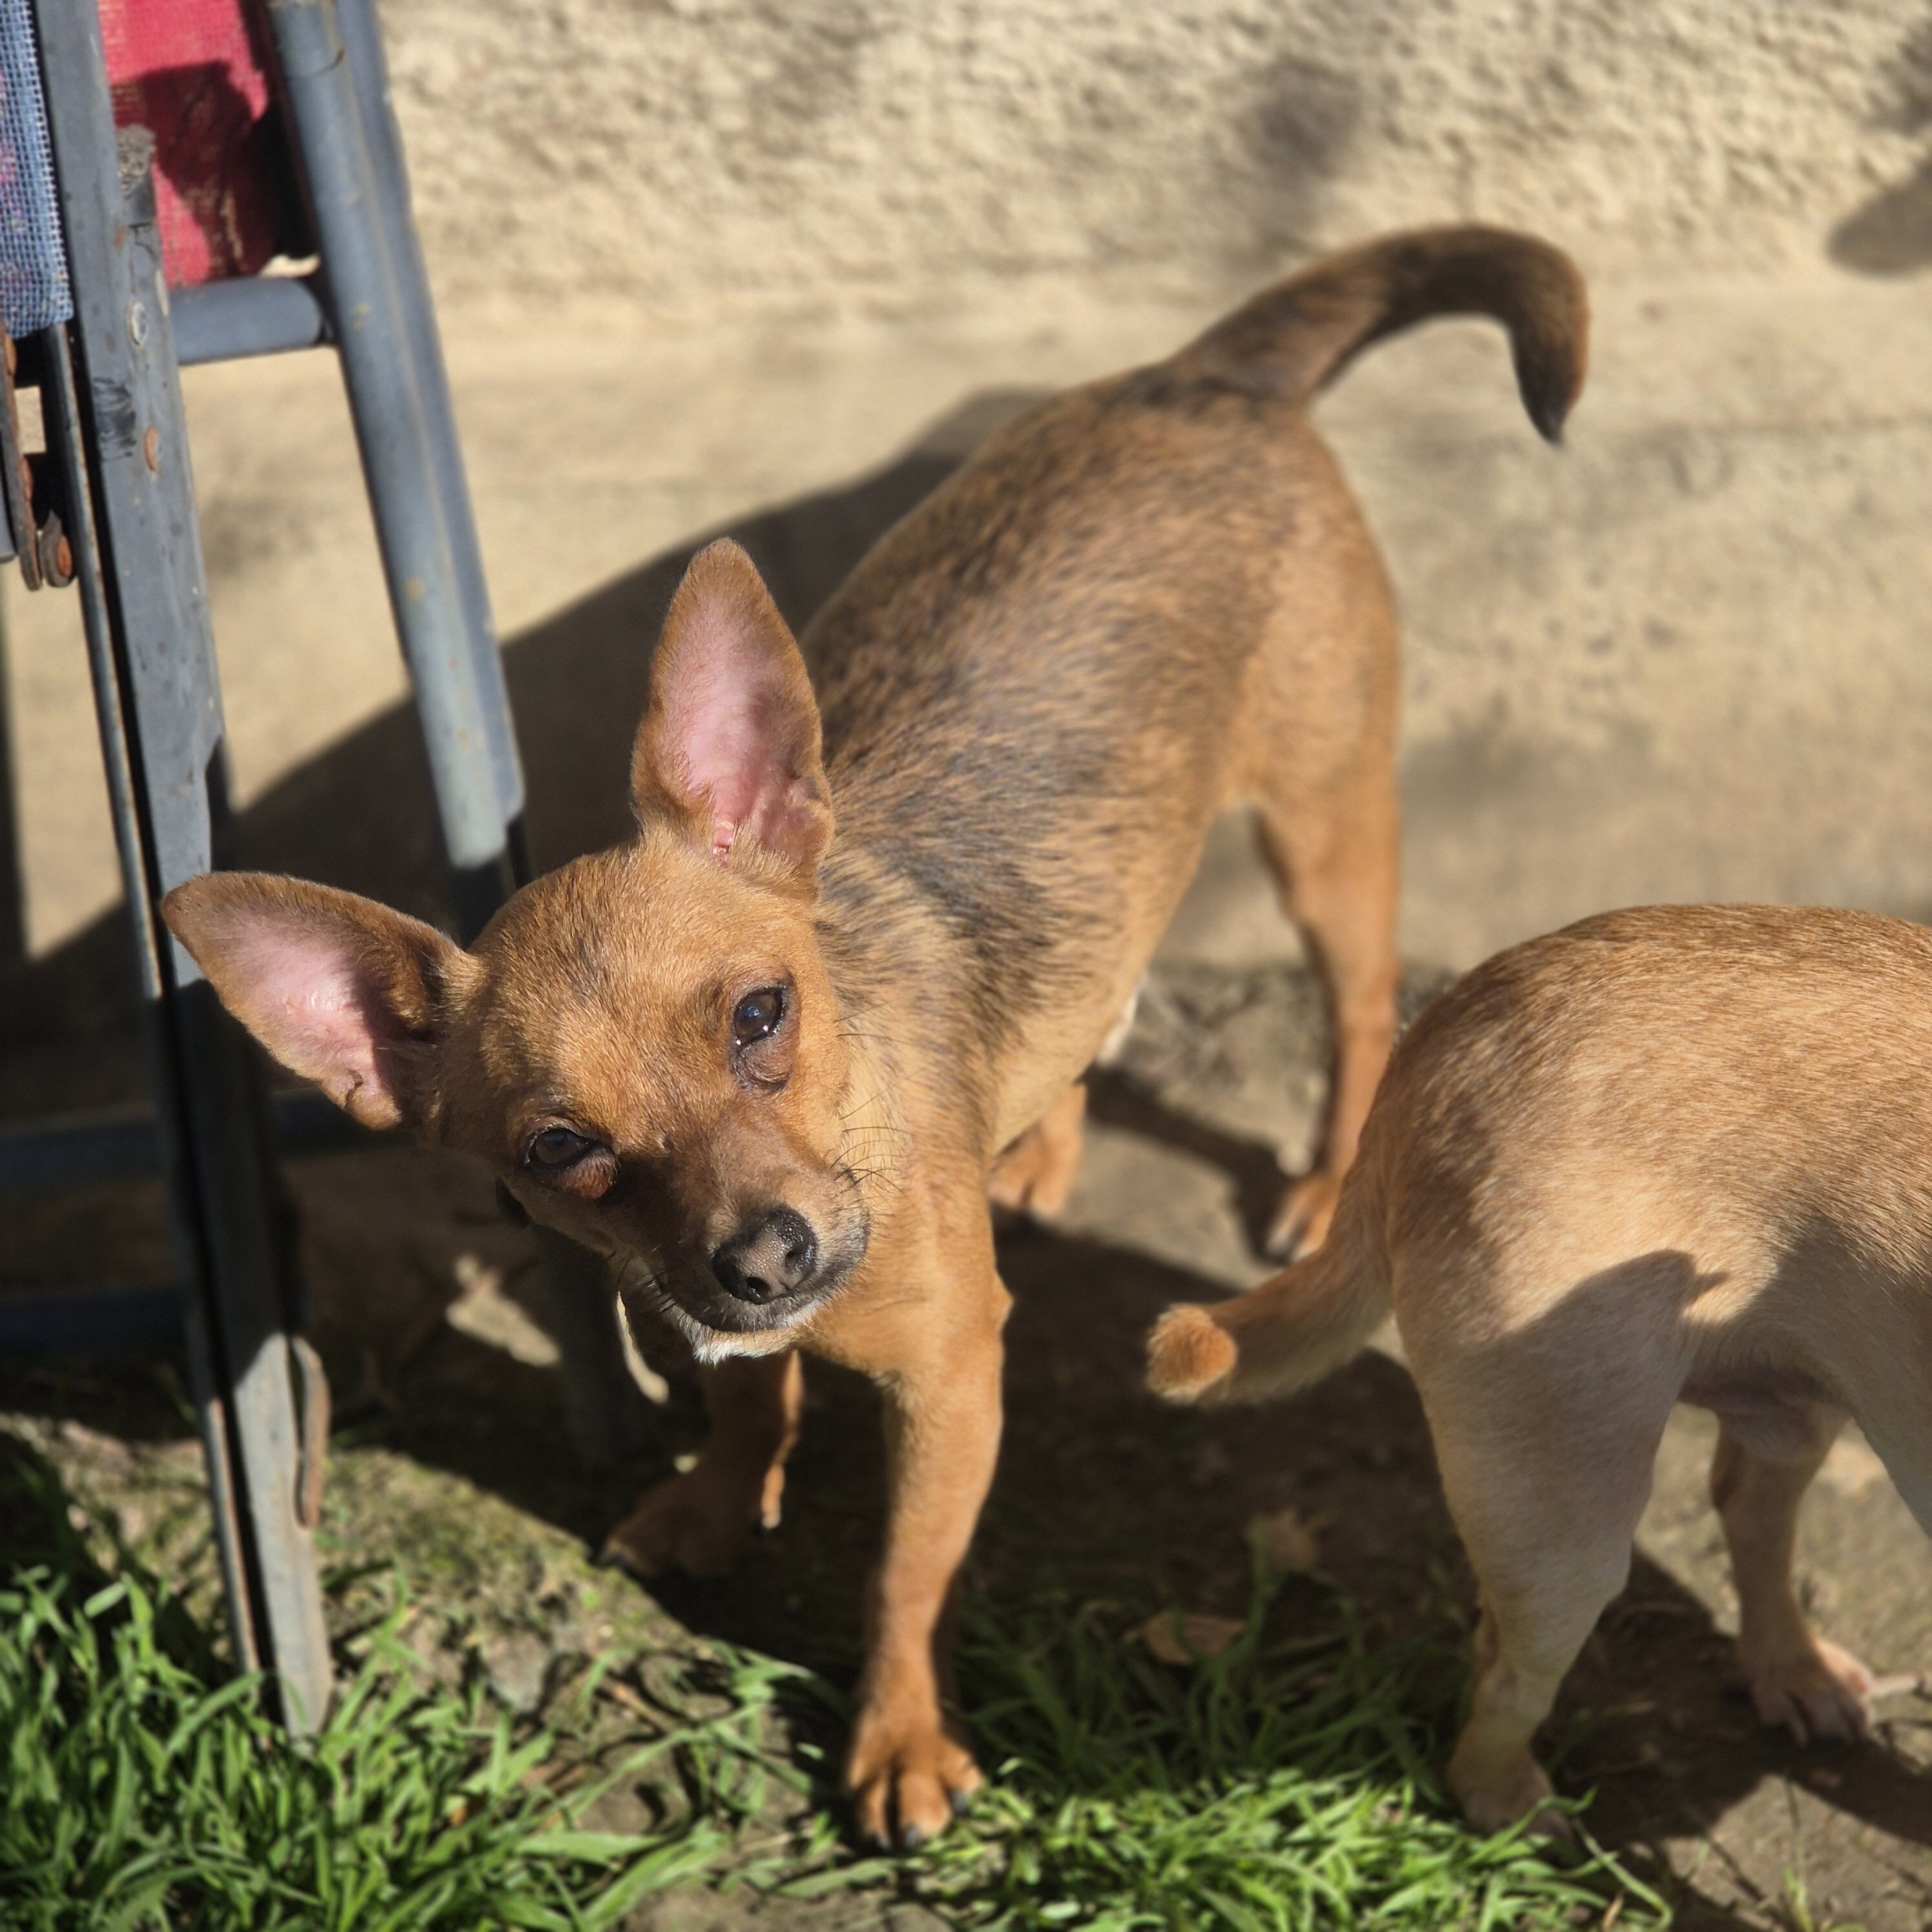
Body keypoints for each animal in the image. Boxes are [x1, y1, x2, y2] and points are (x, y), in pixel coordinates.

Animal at [161, 225, 1585, 1848]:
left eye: (761, 1016)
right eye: (558, 1146)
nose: (764, 1252)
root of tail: (1202, 376)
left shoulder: (953, 1382)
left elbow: (904, 1572)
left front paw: (899, 1736)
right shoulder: (710, 1327)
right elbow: (742, 1403)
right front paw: (719, 1504)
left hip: (1321, 826)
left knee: (1356, 1002)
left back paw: (1318, 1177)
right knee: (1101, 997)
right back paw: (1035, 1150)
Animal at [1148, 903, 1931, 1833]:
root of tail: (1439, 1032)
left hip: (1799, 1411)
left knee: (1751, 1513)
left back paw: (1793, 1671)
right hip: (1563, 1529)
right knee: (1503, 1677)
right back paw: (1506, 1801)